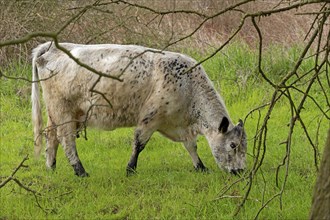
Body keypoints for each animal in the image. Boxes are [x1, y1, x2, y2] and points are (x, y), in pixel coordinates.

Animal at [31, 41, 248, 177]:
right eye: (233, 145)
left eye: (244, 145)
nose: (241, 171)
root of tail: (52, 47)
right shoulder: (150, 118)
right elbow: (139, 144)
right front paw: (130, 169)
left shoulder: (180, 124)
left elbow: (190, 146)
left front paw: (201, 167)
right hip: (63, 110)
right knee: (66, 140)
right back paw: (80, 171)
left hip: (56, 113)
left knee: (51, 136)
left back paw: (51, 167)